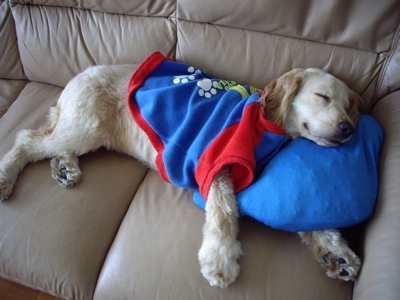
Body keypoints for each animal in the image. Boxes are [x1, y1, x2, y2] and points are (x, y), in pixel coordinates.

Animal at [0, 53, 362, 288]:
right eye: (322, 96)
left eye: (349, 106)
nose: (349, 128)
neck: (266, 126)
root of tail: (72, 81)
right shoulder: (217, 163)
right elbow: (223, 212)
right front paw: (220, 259)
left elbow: (309, 221)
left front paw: (337, 254)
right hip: (86, 126)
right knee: (28, 138)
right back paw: (7, 176)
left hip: (84, 132)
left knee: (52, 144)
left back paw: (64, 167)